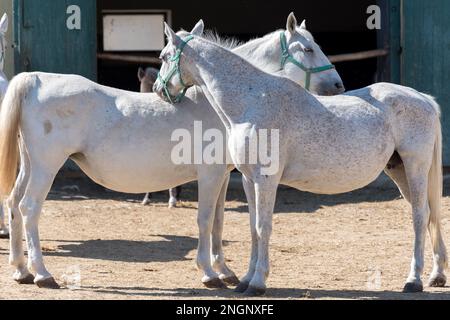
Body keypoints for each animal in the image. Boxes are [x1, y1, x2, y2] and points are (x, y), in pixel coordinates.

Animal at [0, 13, 342, 288]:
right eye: (309, 49)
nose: (338, 85)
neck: (216, 101)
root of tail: (36, 79)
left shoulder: (221, 176)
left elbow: (218, 222)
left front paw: (224, 269)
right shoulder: (210, 174)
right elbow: (205, 220)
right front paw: (209, 273)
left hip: (29, 165)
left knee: (14, 203)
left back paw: (21, 270)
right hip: (47, 167)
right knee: (30, 208)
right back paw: (42, 273)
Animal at [154, 20, 446, 296]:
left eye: (164, 56)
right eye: (308, 49)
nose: (158, 88)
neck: (251, 100)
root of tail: (423, 98)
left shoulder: (266, 179)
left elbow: (263, 226)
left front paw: (258, 283)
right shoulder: (249, 179)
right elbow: (253, 229)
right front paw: (245, 280)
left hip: (415, 168)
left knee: (419, 216)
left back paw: (414, 280)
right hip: (399, 171)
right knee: (429, 213)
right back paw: (437, 274)